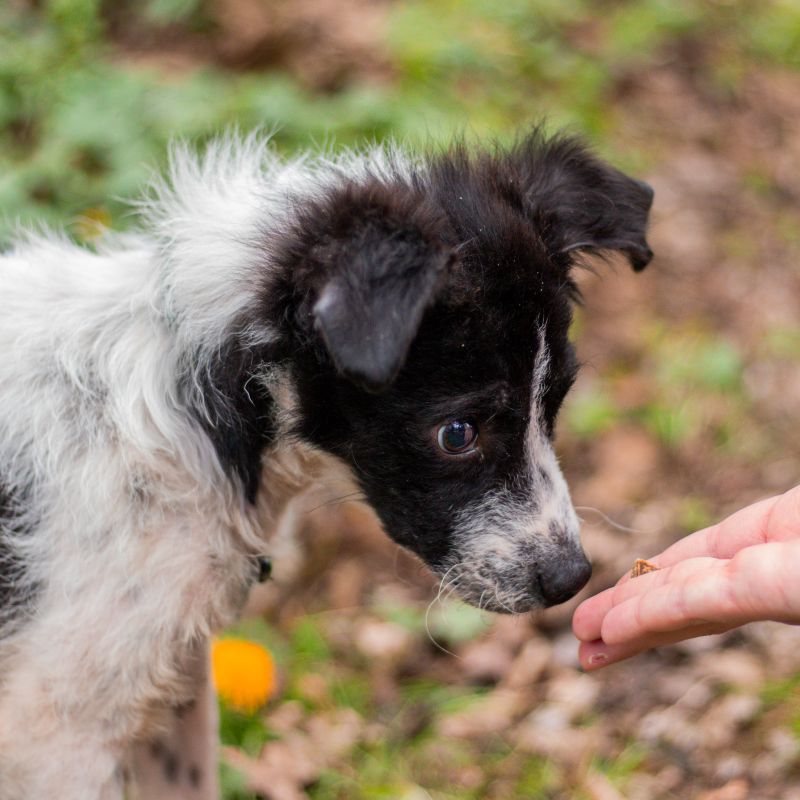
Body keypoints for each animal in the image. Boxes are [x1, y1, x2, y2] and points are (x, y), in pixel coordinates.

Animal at [0, 128, 653, 798]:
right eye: (457, 434)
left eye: (555, 403)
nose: (572, 578)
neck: (199, 431)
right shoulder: (59, 735)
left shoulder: (172, 675)